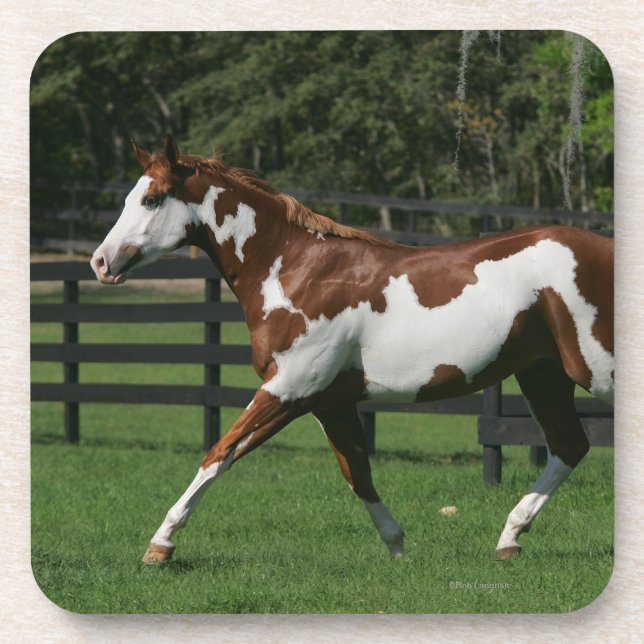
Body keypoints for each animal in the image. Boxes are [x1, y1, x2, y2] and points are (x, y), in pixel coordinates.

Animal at [90, 135, 614, 564]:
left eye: (152, 199)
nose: (100, 262)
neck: (295, 271)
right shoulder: (326, 401)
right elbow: (357, 473)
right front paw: (398, 548)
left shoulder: (287, 389)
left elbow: (219, 452)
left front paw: (160, 544)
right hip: (543, 374)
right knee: (570, 445)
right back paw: (509, 538)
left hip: (595, 370)